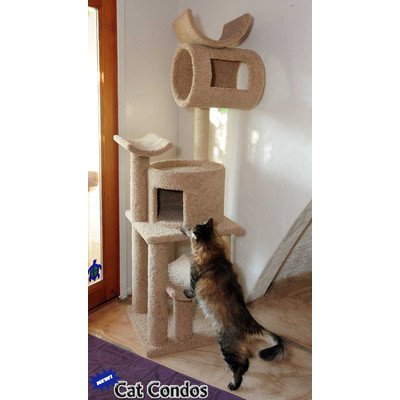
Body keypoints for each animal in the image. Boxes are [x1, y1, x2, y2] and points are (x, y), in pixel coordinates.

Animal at [181, 218, 285, 391]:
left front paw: (185, 293)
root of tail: (251, 324)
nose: (186, 226)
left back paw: (233, 385)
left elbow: (190, 290)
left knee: (239, 367)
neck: (211, 251)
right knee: (247, 362)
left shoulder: (193, 278)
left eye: (194, 226)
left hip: (227, 347)